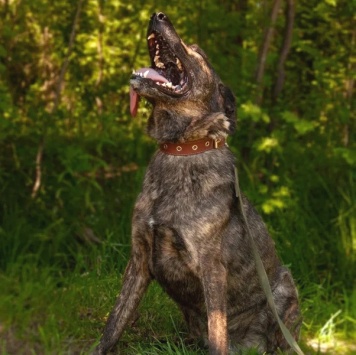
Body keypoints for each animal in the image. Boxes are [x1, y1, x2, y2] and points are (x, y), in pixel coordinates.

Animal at [94, 11, 300, 355]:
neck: (182, 149)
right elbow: (113, 324)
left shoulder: (211, 267)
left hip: (286, 286)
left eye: (197, 51)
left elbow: (217, 332)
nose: (157, 15)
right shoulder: (138, 260)